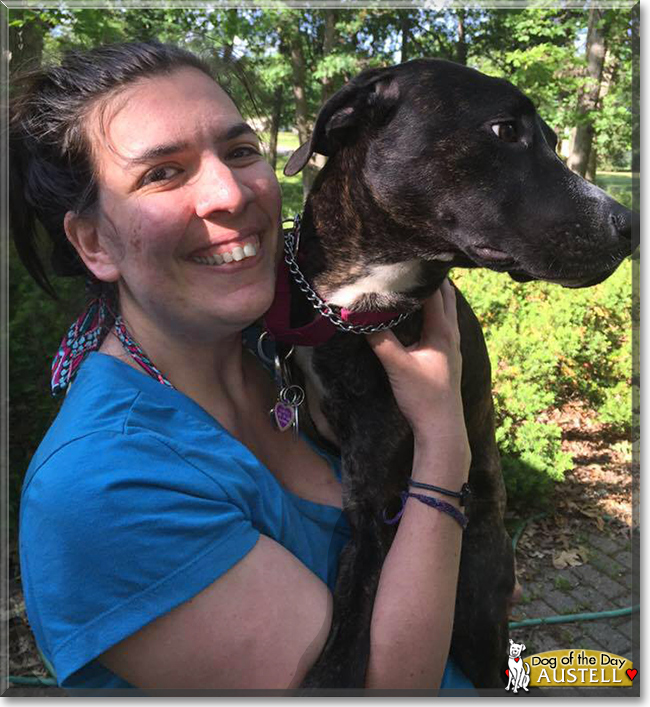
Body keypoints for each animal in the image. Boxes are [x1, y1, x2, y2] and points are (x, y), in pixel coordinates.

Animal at [274, 58, 632, 688]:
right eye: (505, 131)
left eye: (554, 140)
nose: (633, 225)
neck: (356, 303)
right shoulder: (366, 506)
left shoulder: (377, 507)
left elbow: (345, 649)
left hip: (479, 607)